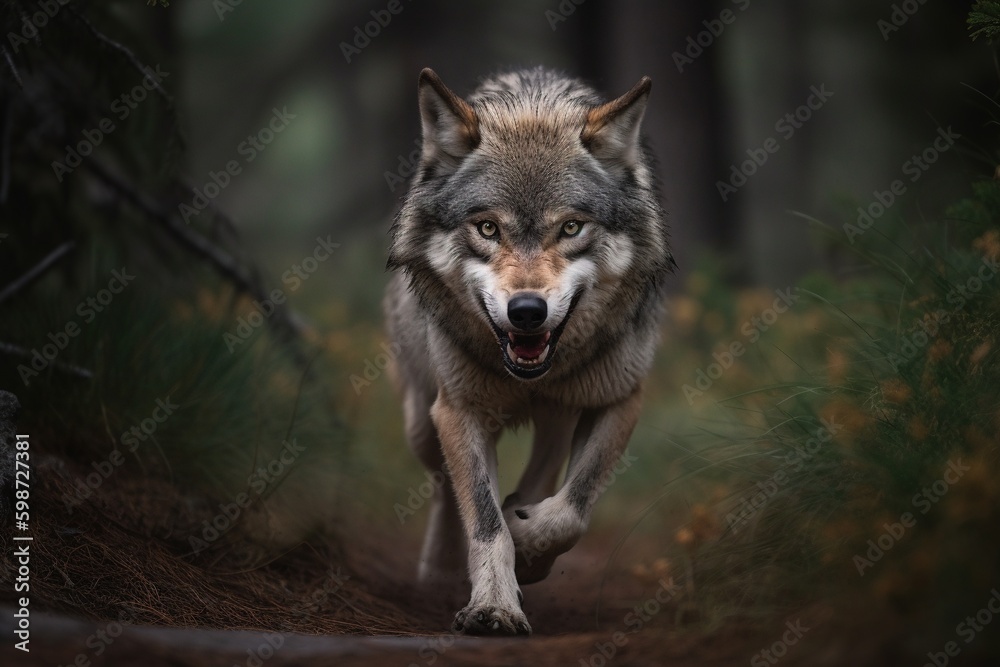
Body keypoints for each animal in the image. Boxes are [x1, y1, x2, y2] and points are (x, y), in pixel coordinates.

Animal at [385, 67, 673, 636]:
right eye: (487, 227)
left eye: (571, 227)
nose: (526, 311)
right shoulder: (460, 410)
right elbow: (483, 517)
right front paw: (494, 606)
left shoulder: (620, 399)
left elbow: (572, 508)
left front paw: (528, 542)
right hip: (423, 422)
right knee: (443, 486)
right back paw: (440, 566)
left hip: (563, 410)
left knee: (547, 461)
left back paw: (522, 510)